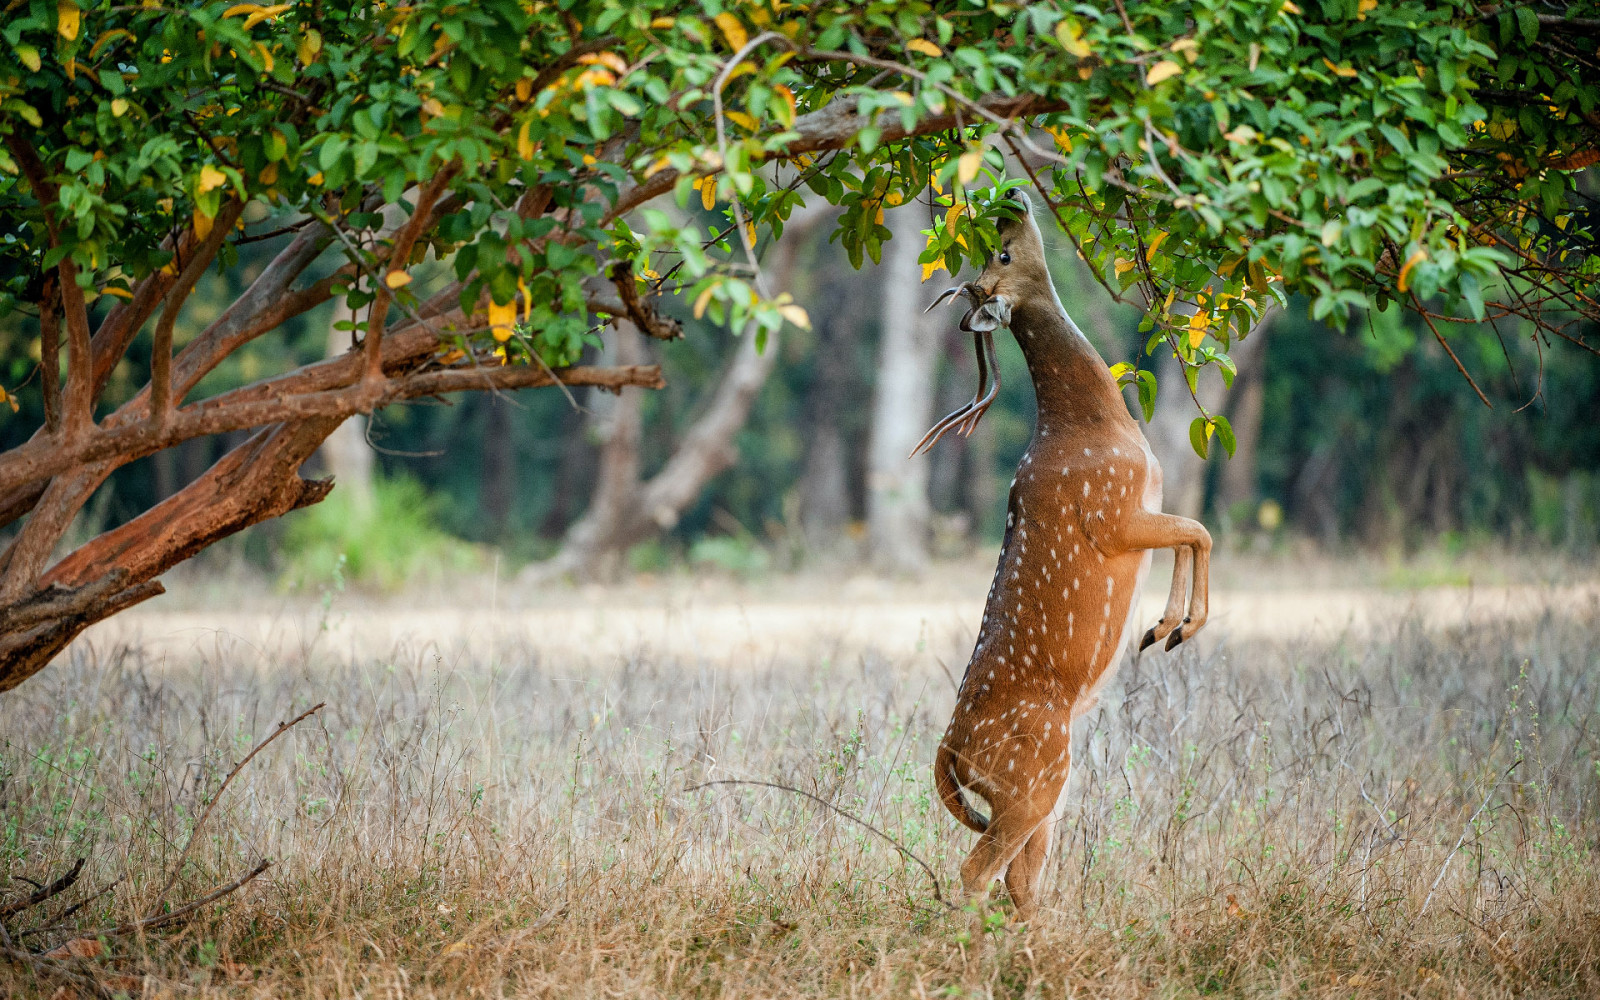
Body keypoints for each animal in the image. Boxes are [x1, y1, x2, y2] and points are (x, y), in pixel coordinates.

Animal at [921, 188, 1203, 921]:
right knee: (977, 872)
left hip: (1038, 794)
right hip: (1035, 776)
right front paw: (1176, 627)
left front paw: (1163, 626)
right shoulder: (1111, 513)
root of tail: (951, 753)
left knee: (1020, 883)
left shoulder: (1139, 507)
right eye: (1002, 253)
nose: (1011, 197)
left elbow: (1191, 530)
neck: (1096, 425)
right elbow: (1198, 528)